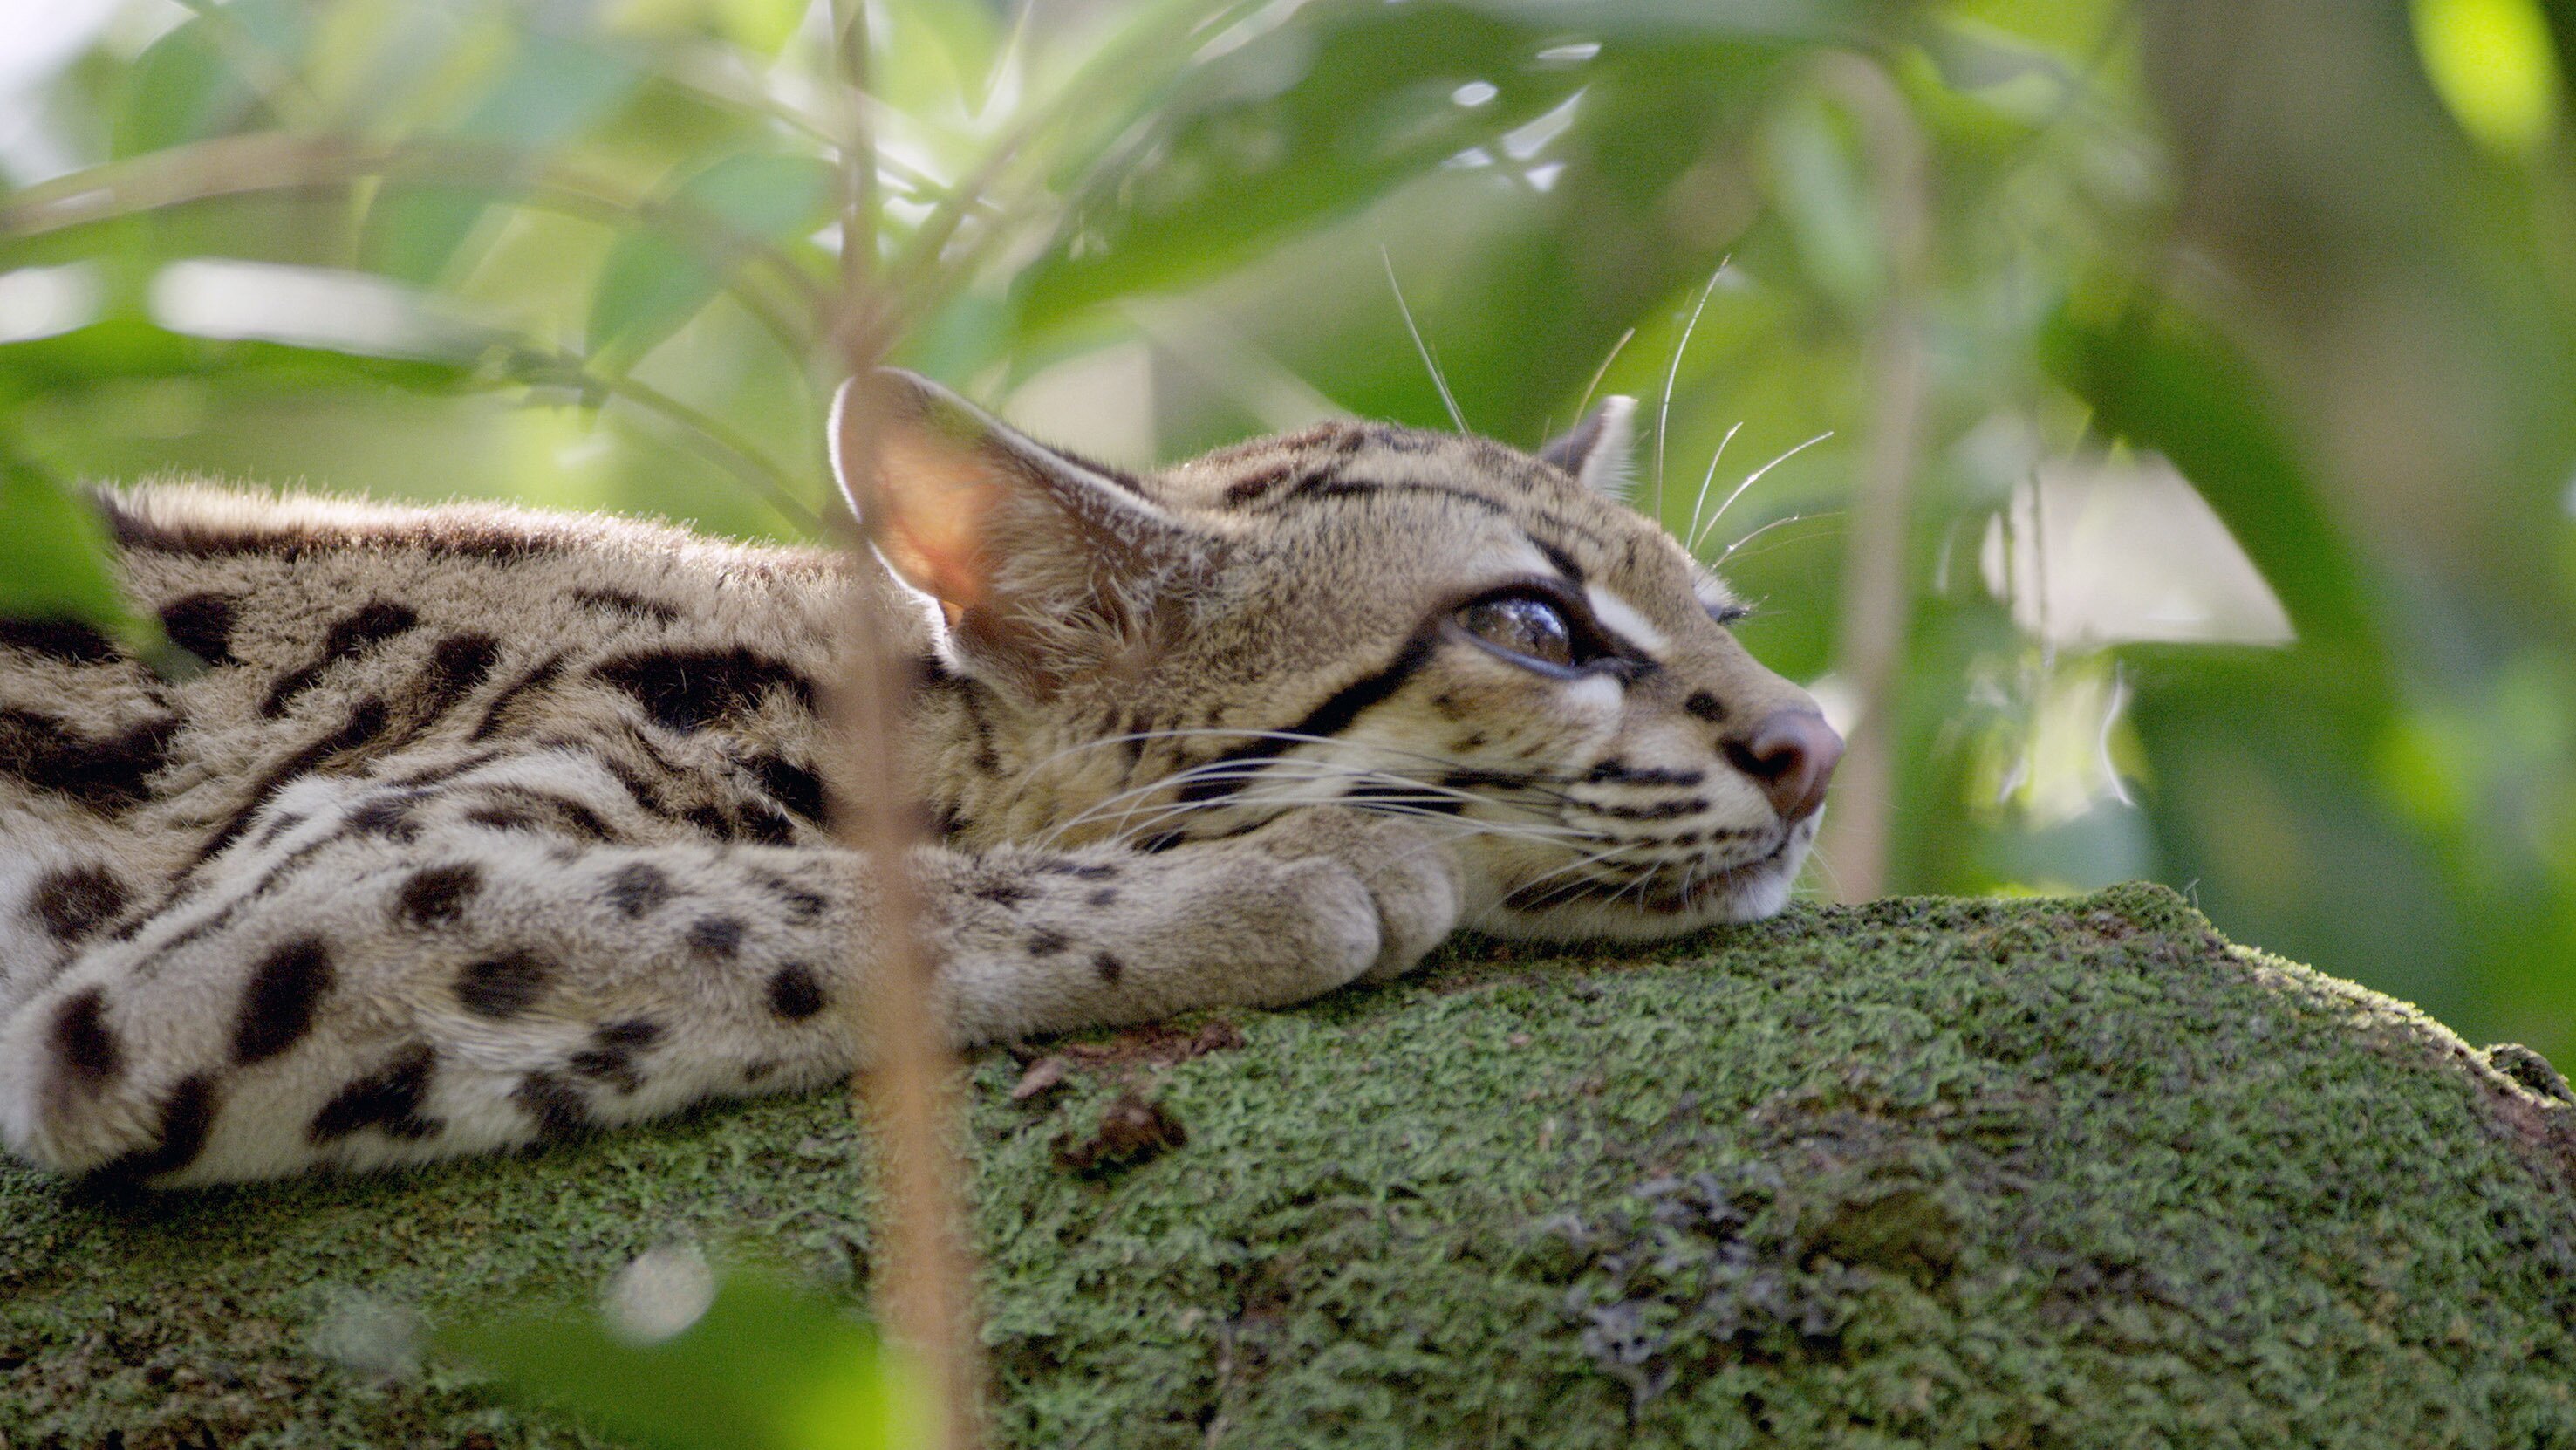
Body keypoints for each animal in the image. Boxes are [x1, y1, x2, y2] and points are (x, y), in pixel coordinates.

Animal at [4, 373, 1855, 1189]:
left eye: (1722, 617)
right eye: (1529, 624)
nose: (1816, 746)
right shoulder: (295, 905)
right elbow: (793, 909)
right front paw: (1299, 873)